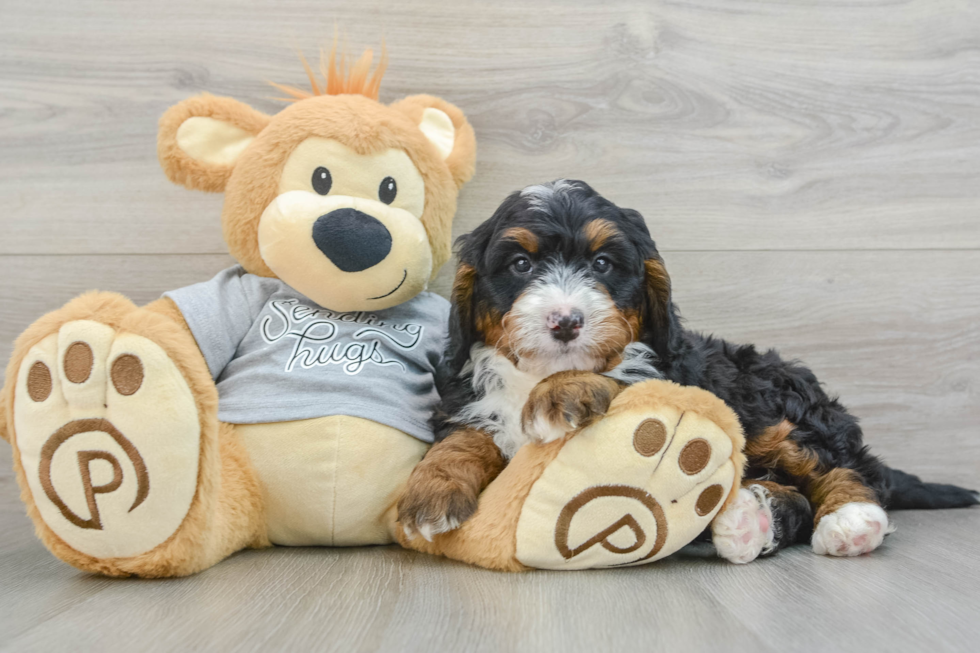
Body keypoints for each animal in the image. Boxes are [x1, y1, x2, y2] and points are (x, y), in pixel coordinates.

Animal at [394, 178, 976, 560]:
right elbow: (462, 437)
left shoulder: (670, 372)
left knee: (846, 466)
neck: (533, 373)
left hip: (774, 405)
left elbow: (623, 371)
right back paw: (748, 519)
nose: (566, 322)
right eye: (520, 265)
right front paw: (429, 494)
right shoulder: (471, 398)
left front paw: (565, 390)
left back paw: (850, 520)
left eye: (603, 264)